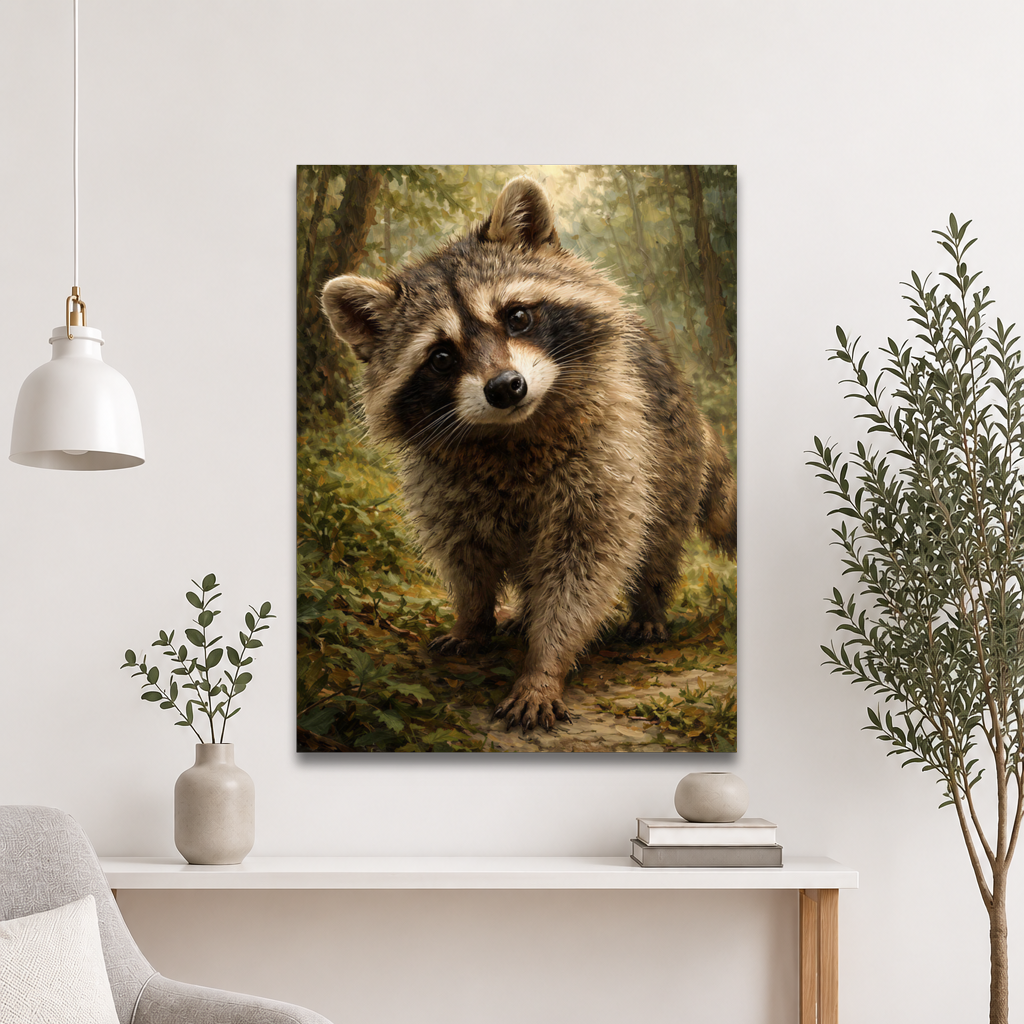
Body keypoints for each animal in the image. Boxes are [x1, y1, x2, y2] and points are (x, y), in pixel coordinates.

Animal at [321, 177, 736, 732]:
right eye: (441, 357)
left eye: (517, 316)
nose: (505, 387)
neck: (511, 434)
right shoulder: (441, 484)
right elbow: (464, 557)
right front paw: (473, 619)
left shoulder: (609, 455)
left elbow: (584, 568)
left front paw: (544, 665)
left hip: (672, 457)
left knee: (659, 539)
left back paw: (648, 604)